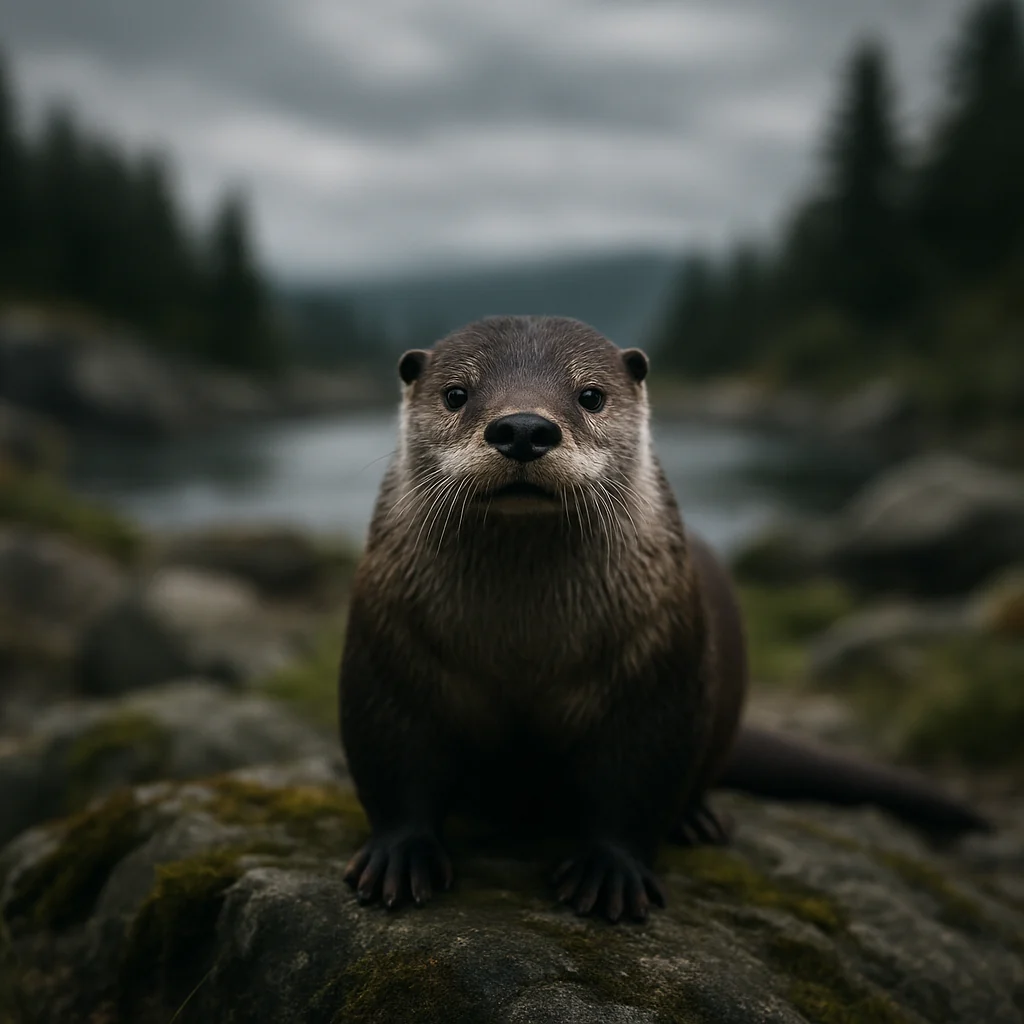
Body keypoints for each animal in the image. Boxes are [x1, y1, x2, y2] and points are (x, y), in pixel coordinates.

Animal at [338, 315, 990, 924]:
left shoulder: (657, 666)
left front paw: (611, 871)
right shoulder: (388, 649)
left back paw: (698, 821)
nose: (523, 427)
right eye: (456, 393)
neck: (523, 649)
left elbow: (638, 777)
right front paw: (400, 857)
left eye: (590, 395)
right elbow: (391, 760)